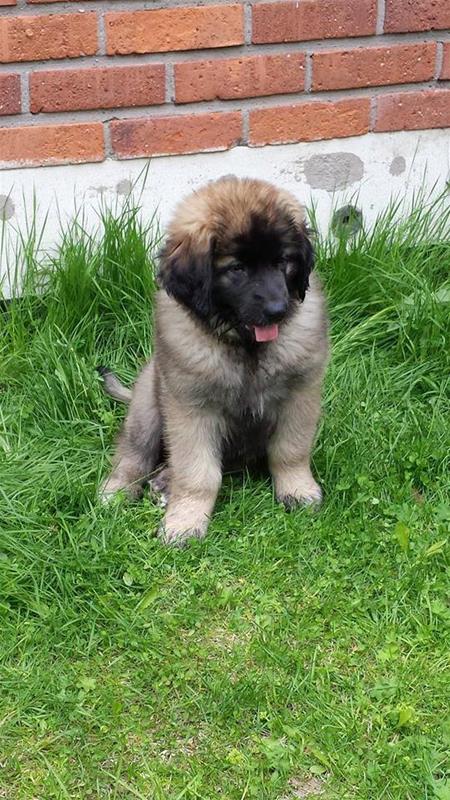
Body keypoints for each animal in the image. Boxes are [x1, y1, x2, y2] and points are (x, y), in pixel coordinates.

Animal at [100, 176, 329, 546]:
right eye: (237, 269)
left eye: (282, 261)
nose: (278, 311)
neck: (245, 347)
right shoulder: (191, 408)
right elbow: (198, 473)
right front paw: (185, 520)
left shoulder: (301, 394)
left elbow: (290, 450)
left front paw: (297, 489)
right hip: (148, 404)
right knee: (133, 455)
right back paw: (118, 491)